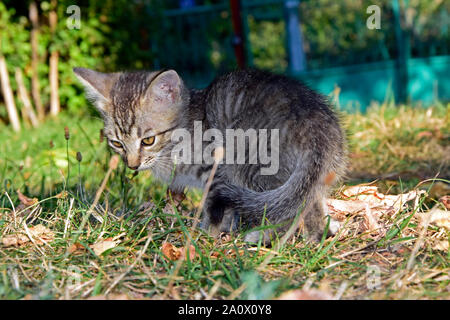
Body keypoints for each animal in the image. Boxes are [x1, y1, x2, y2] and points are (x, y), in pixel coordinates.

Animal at [74, 68, 348, 242]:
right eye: (116, 143)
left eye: (148, 140)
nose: (132, 165)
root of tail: (317, 121)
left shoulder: (216, 173)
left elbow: (213, 207)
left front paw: (206, 234)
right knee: (306, 200)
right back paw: (317, 236)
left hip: (248, 157)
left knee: (284, 206)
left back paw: (264, 236)